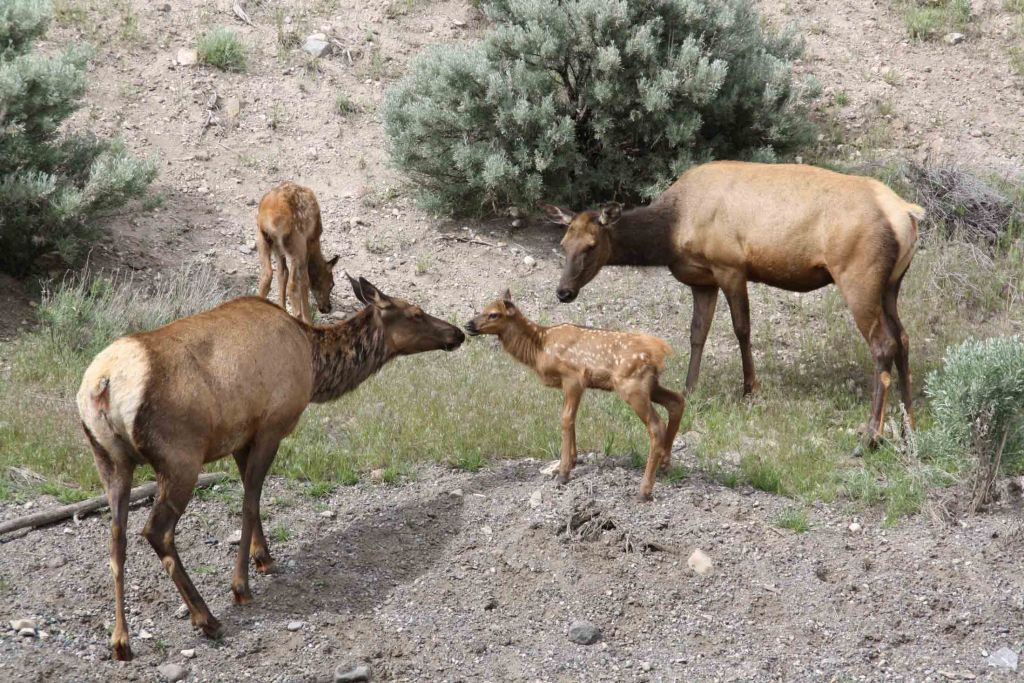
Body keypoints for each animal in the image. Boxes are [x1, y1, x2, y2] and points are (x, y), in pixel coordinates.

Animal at [77, 274, 462, 659]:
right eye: (416, 312)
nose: (457, 332)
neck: (314, 365)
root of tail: (103, 384)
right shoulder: (272, 425)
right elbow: (249, 503)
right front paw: (241, 585)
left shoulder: (241, 436)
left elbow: (254, 500)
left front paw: (263, 557)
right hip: (180, 456)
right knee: (156, 531)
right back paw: (205, 618)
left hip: (108, 459)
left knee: (116, 537)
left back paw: (121, 641)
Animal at [468, 290, 684, 501]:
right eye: (483, 309)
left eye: (494, 314)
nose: (469, 324)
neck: (540, 347)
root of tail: (661, 351)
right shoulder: (573, 384)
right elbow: (571, 419)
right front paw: (571, 462)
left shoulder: (573, 377)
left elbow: (566, 419)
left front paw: (563, 472)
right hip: (650, 385)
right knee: (676, 401)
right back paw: (665, 465)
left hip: (632, 386)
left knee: (656, 425)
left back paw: (644, 491)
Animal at [544, 160, 929, 448]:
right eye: (564, 244)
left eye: (592, 245)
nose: (563, 292)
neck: (671, 233)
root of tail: (908, 215)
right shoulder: (703, 279)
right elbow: (697, 333)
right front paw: (690, 389)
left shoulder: (730, 265)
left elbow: (741, 329)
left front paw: (749, 390)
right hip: (891, 285)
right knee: (904, 339)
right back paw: (909, 424)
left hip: (858, 274)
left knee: (883, 343)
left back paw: (872, 435)